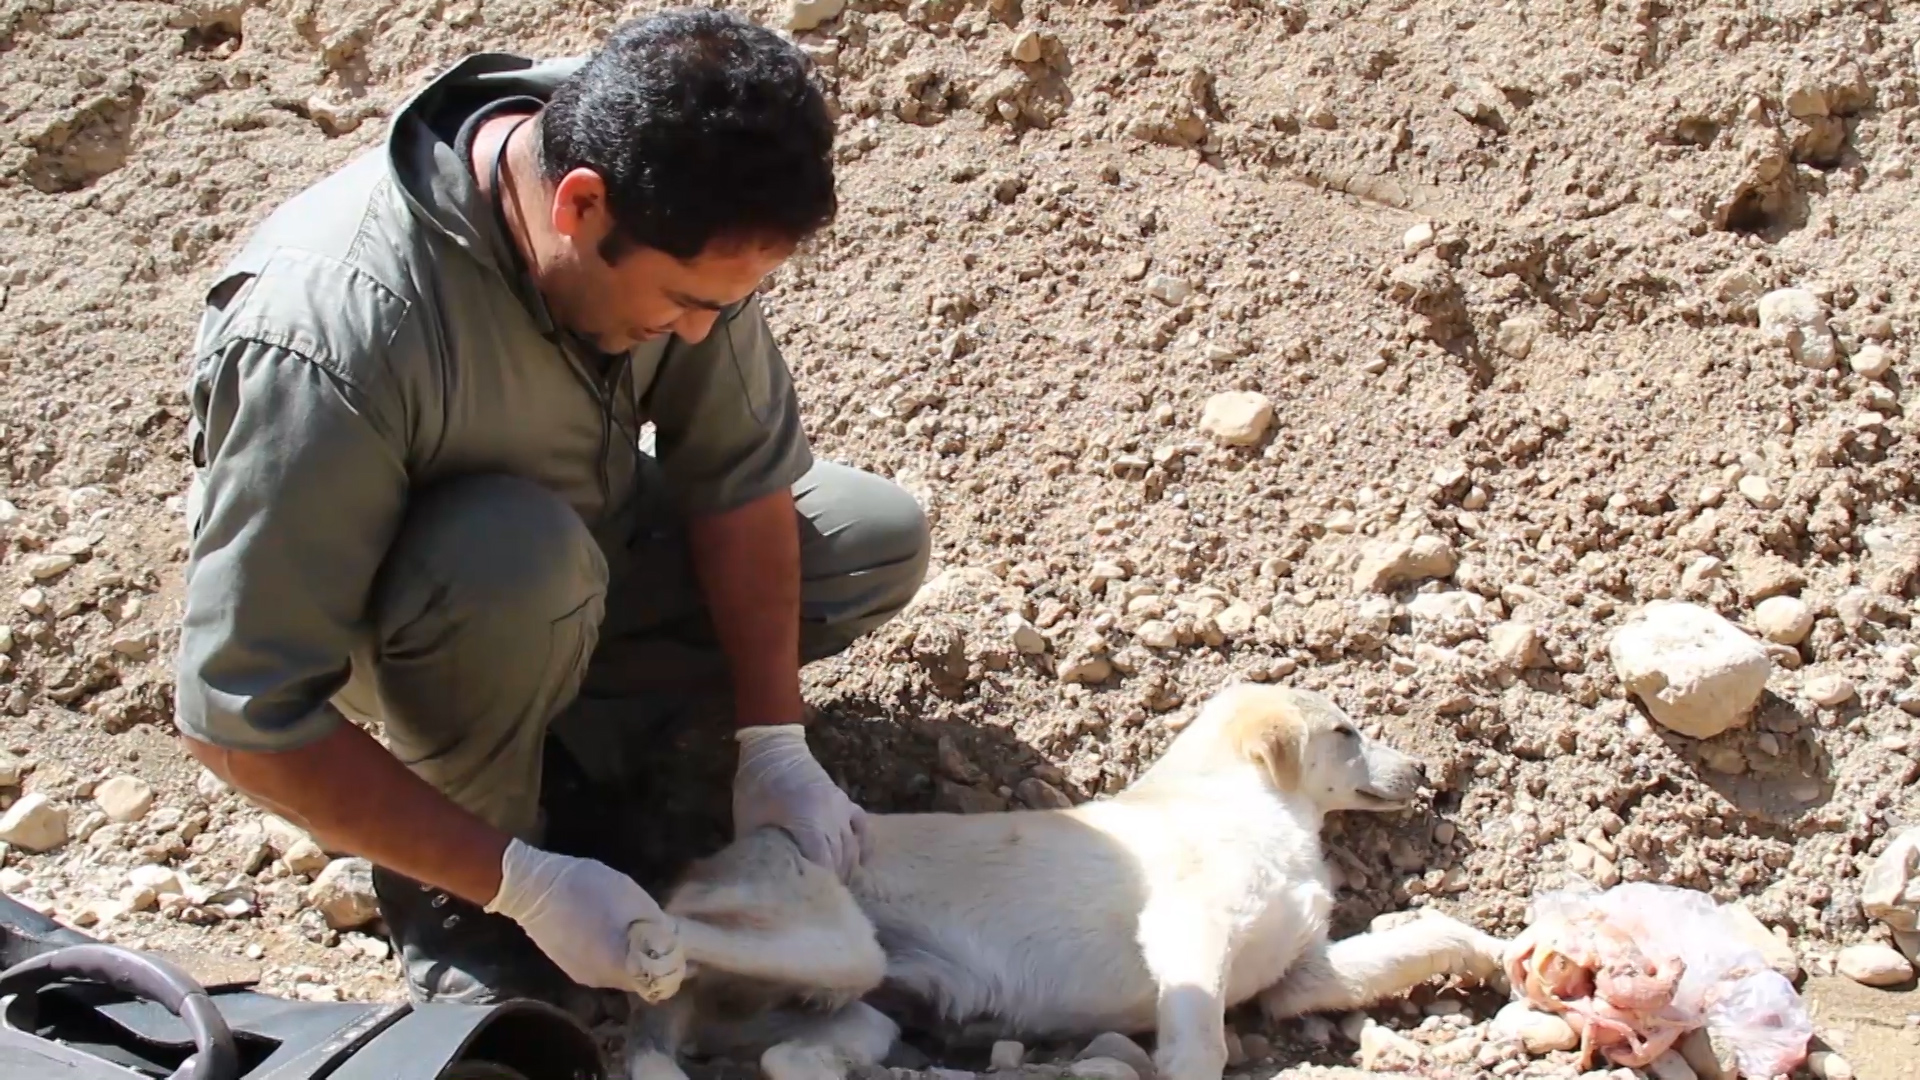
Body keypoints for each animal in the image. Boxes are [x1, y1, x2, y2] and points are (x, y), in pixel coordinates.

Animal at [629, 680, 1512, 1076]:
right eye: (1345, 731)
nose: (1424, 768)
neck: (1250, 805)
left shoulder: (1300, 973)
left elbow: (1422, 935)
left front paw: (1492, 952)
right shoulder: (1188, 931)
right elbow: (1199, 1045)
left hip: (849, 1003)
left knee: (780, 1049)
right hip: (832, 940)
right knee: (679, 931)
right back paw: (625, 930)